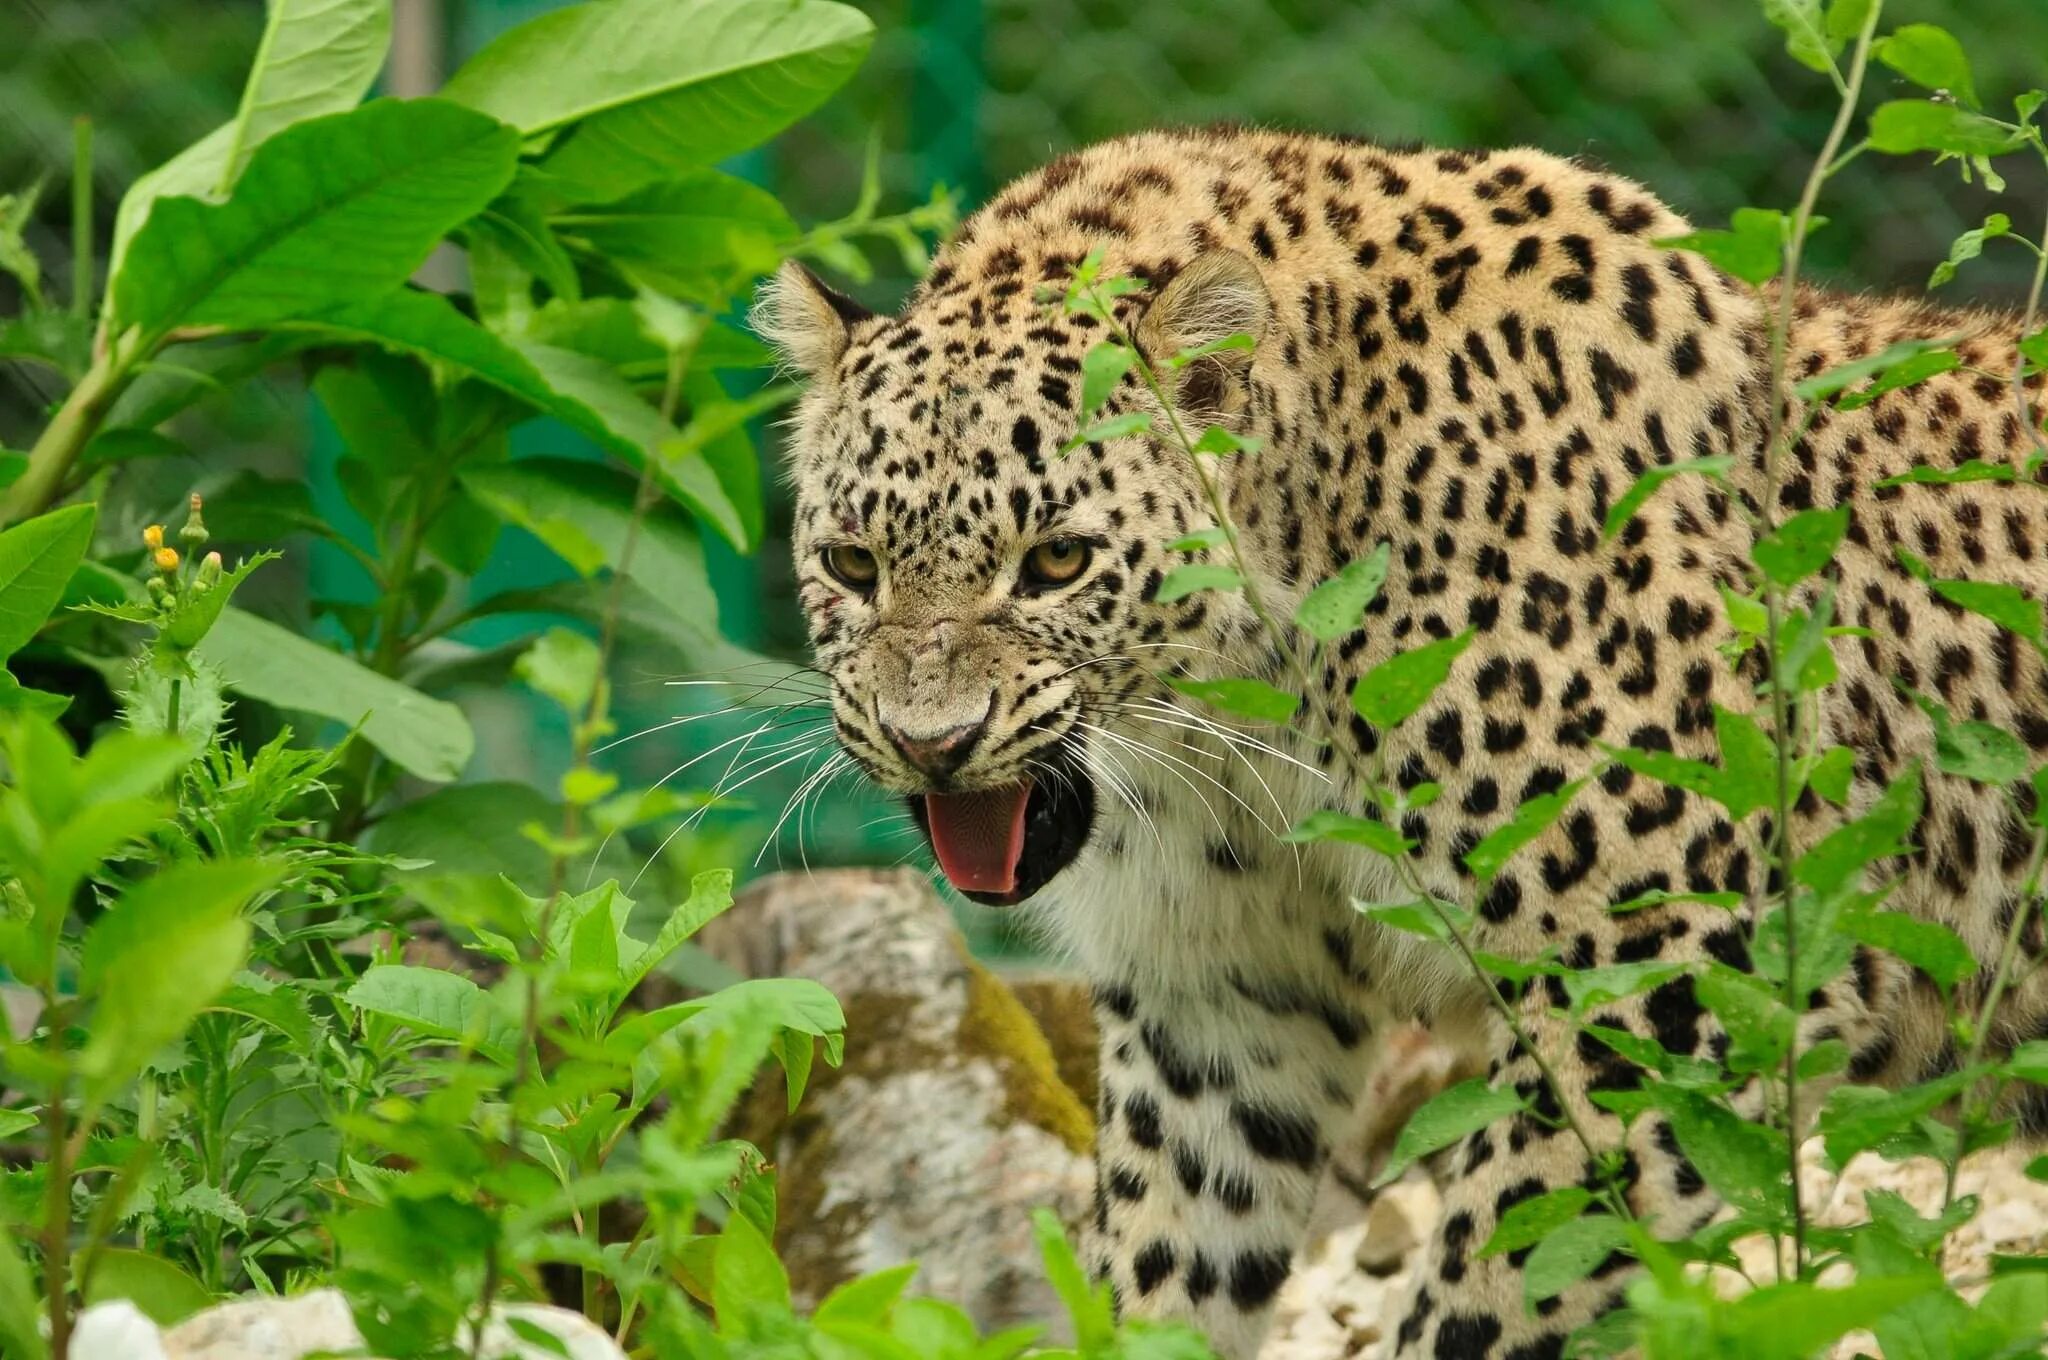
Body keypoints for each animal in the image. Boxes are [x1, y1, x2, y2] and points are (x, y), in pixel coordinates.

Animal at [753, 122, 2048, 1351]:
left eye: (1057, 560)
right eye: (852, 564)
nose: (931, 741)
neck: (1234, 720)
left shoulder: (1662, 971)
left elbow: (1505, 1280)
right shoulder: (1218, 1003)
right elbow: (1170, 1262)